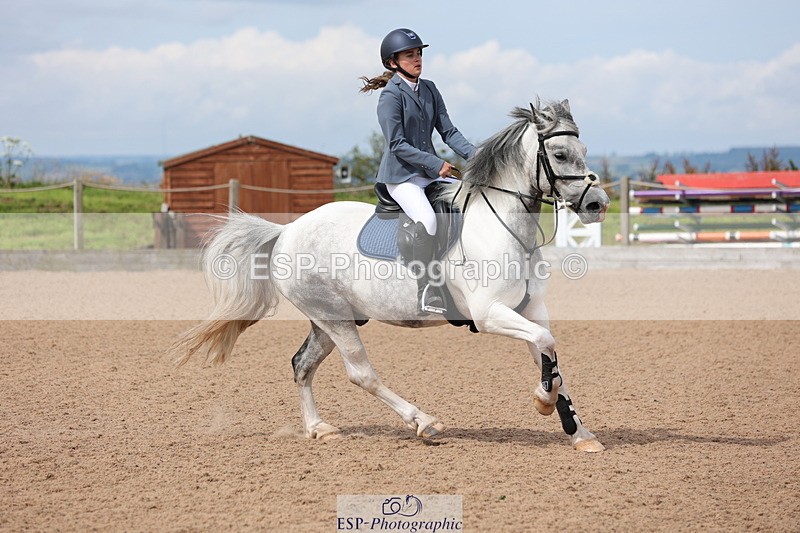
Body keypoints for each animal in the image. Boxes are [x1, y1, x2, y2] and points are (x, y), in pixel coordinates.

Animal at [171, 99, 610, 452]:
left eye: (584, 150)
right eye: (559, 154)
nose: (597, 204)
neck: (502, 227)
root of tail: (286, 231)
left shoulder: (530, 310)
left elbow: (551, 355)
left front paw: (579, 433)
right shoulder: (490, 314)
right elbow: (546, 346)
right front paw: (542, 401)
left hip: (328, 320)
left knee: (302, 365)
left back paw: (319, 429)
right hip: (334, 318)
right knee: (360, 374)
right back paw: (423, 421)